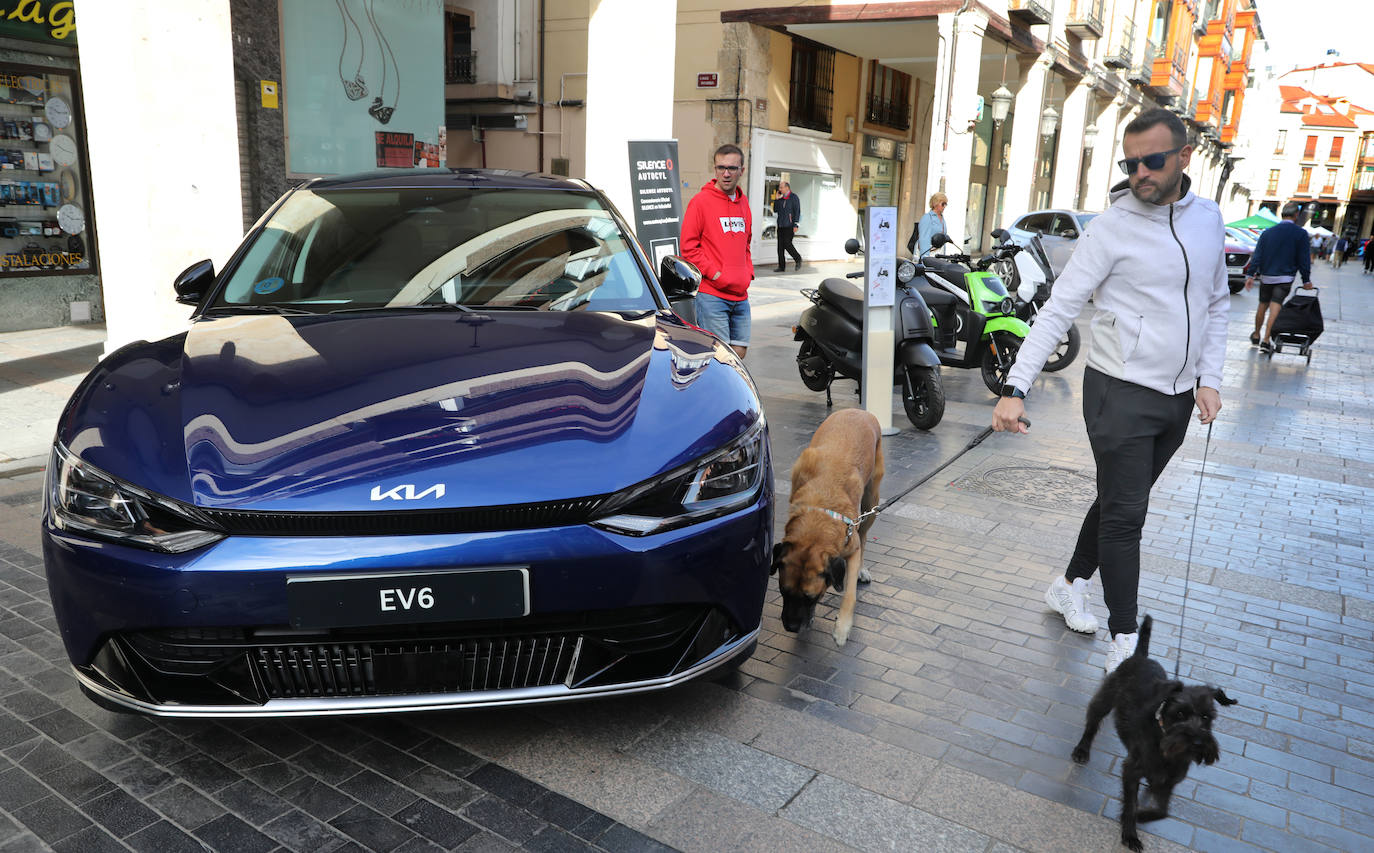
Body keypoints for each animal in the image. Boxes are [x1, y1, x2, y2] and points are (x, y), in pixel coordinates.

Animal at [774, 406, 879, 645]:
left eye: (812, 597)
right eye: (783, 591)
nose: (791, 627)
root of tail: (858, 410)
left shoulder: (851, 544)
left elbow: (849, 593)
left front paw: (842, 627)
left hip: (872, 502)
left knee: (865, 537)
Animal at [1066, 615, 1242, 846]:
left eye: (1207, 717)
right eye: (1179, 714)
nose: (1197, 742)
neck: (1165, 744)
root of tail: (1140, 656)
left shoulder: (1170, 780)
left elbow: (1162, 811)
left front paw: (1143, 815)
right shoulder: (1131, 771)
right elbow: (1131, 805)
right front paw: (1130, 834)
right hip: (1104, 700)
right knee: (1092, 723)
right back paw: (1082, 750)